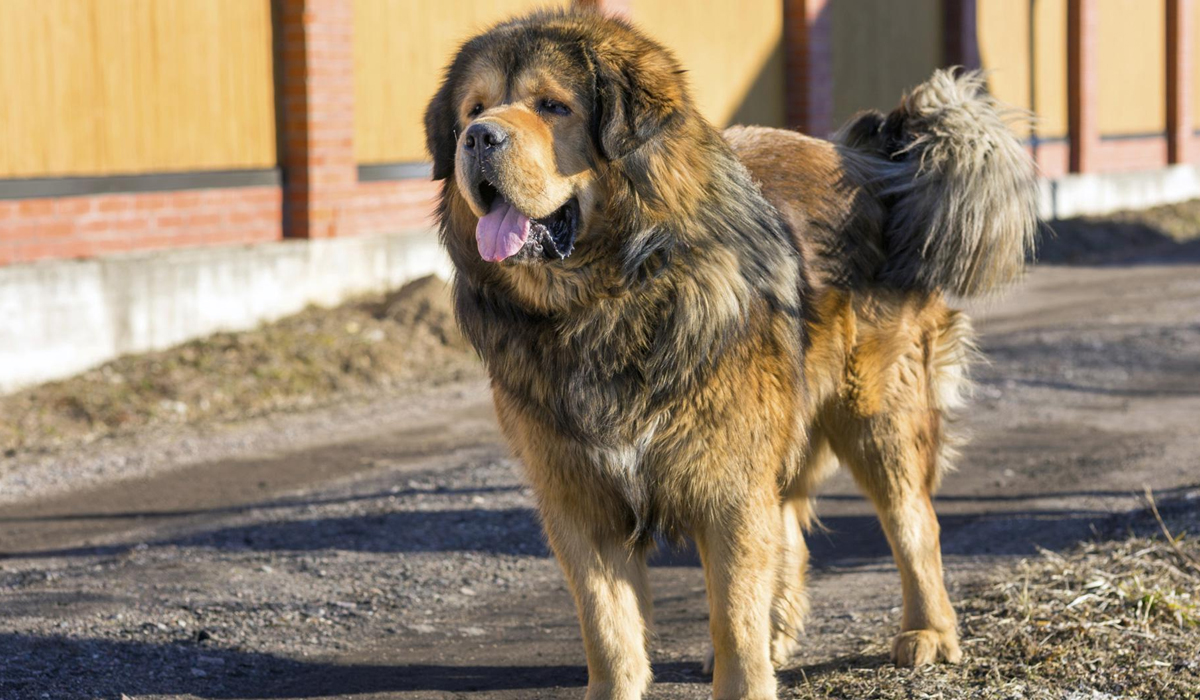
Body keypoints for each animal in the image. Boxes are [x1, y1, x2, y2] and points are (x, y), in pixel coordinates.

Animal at [427, 10, 1036, 700]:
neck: (607, 301)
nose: (478, 138)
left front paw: (747, 671)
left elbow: (732, 619)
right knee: (791, 530)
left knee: (913, 524)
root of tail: (867, 161)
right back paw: (783, 634)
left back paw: (928, 630)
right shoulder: (579, 498)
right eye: (474, 109)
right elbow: (609, 631)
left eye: (551, 106)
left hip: (878, 416)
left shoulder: (727, 485)